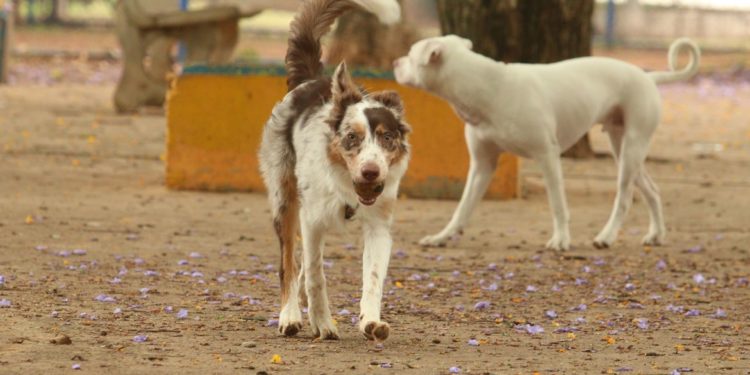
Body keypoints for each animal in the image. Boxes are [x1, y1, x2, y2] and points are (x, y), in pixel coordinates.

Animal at [260, 0, 412, 342]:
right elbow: (315, 275)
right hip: (284, 200)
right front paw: (323, 323)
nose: (371, 172)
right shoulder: (311, 219)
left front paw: (371, 321)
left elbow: (373, 278)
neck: (346, 188)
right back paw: (290, 315)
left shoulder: (378, 226)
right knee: (289, 264)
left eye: (386, 137)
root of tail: (311, 80)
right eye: (351, 137)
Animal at [396, 36, 704, 253]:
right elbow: (462, 208)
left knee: (625, 197)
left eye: (411, 55)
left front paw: (561, 240)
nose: (396, 62)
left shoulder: (548, 156)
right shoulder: (482, 165)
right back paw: (656, 235)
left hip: (631, 151)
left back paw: (606, 237)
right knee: (652, 191)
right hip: (624, 149)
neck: (490, 88)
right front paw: (442, 237)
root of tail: (648, 76)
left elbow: (558, 204)